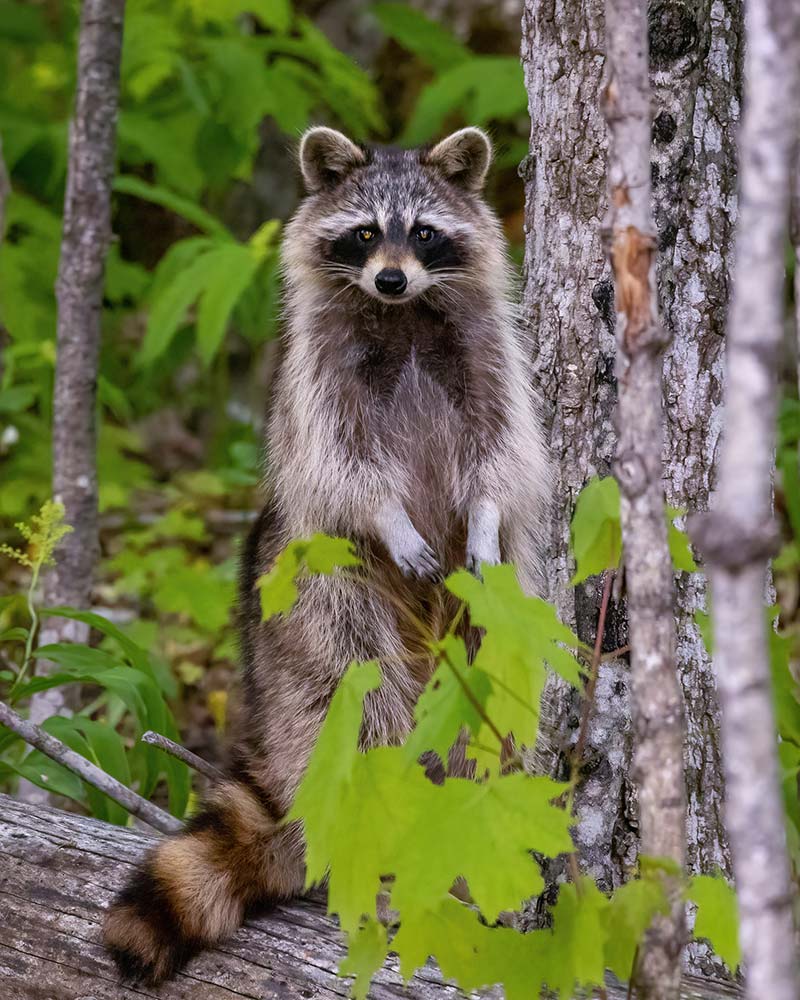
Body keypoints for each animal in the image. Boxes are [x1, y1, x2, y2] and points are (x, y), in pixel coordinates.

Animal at [103, 126, 550, 984]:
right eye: (366, 234)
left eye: (426, 234)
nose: (390, 276)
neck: (402, 314)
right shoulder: (315, 385)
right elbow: (347, 473)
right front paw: (395, 520)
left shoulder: (493, 366)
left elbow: (501, 461)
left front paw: (481, 521)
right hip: (318, 603)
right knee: (358, 717)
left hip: (486, 629)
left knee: (494, 718)